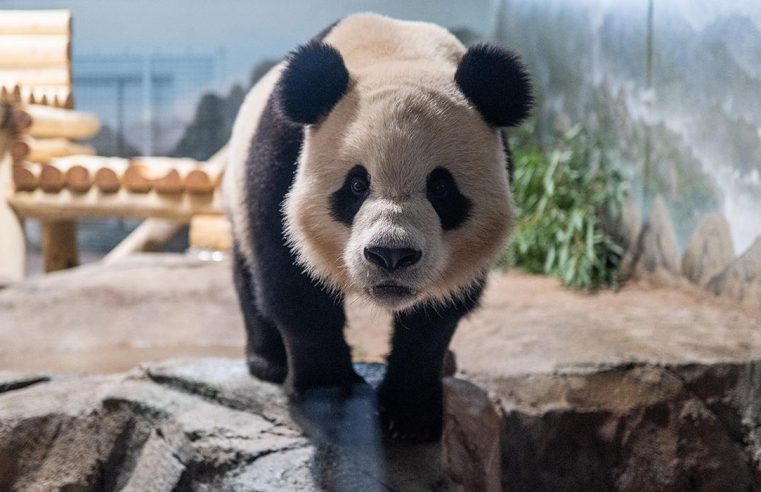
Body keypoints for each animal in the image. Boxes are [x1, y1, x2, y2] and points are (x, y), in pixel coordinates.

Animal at [223, 12, 531, 442]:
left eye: (440, 187)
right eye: (357, 184)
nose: (391, 255)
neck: (395, 52)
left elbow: (436, 317)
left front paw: (411, 413)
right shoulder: (282, 155)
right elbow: (290, 277)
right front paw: (326, 390)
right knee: (248, 272)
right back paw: (268, 361)